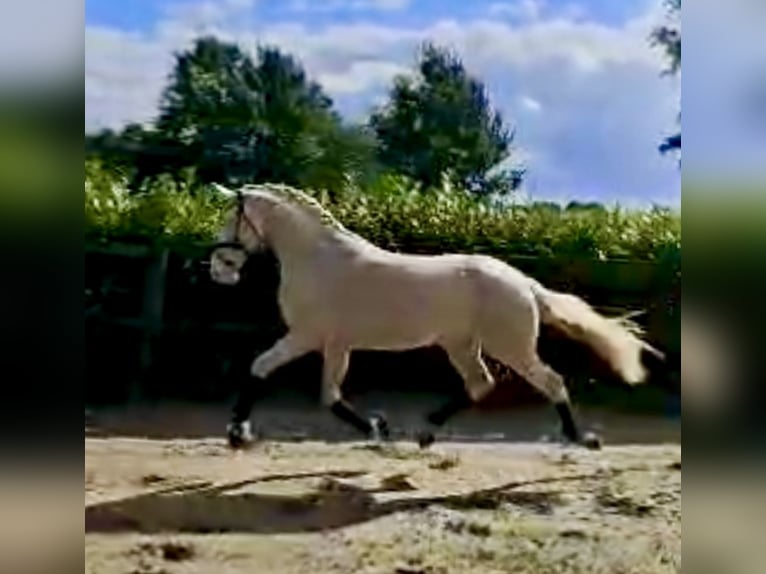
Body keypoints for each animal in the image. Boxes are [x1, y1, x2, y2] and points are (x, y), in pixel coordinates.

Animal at [207, 182, 664, 451]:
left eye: (232, 218)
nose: (219, 270)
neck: (321, 260)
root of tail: (523, 283)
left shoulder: (309, 336)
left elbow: (263, 368)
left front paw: (237, 433)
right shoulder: (335, 343)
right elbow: (328, 394)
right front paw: (378, 429)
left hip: (509, 346)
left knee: (548, 381)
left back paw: (578, 438)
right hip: (461, 344)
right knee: (481, 384)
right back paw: (426, 431)